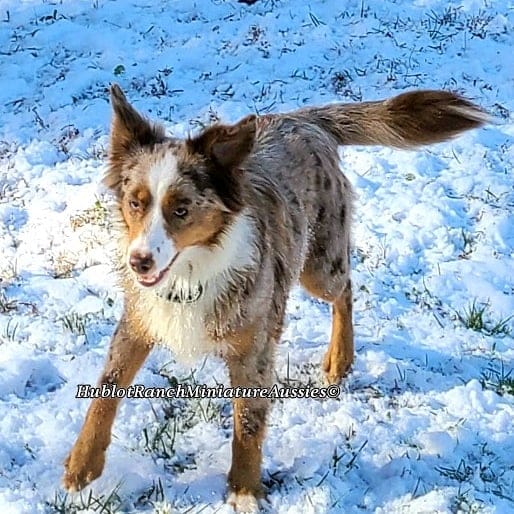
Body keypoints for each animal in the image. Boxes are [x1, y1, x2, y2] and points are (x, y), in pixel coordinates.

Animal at [61, 86, 484, 510]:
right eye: (135, 202)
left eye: (181, 209)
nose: (139, 262)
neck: (191, 274)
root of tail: (301, 119)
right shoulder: (137, 322)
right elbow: (105, 392)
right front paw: (82, 465)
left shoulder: (255, 348)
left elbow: (248, 422)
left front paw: (245, 491)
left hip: (320, 265)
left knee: (345, 290)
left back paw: (339, 358)